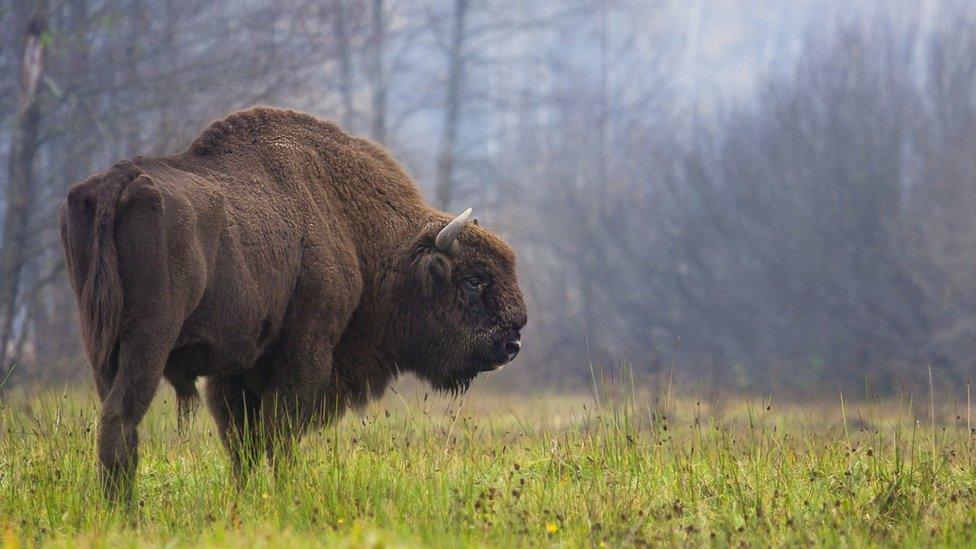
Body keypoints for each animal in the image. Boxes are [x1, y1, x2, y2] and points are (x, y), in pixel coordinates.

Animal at [59, 105, 528, 498]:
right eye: (474, 280)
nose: (512, 342)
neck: (353, 226)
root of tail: (118, 180)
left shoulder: (235, 371)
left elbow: (243, 443)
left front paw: (246, 498)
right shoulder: (305, 353)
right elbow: (278, 434)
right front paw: (283, 495)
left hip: (100, 344)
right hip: (149, 340)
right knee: (121, 416)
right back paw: (125, 509)